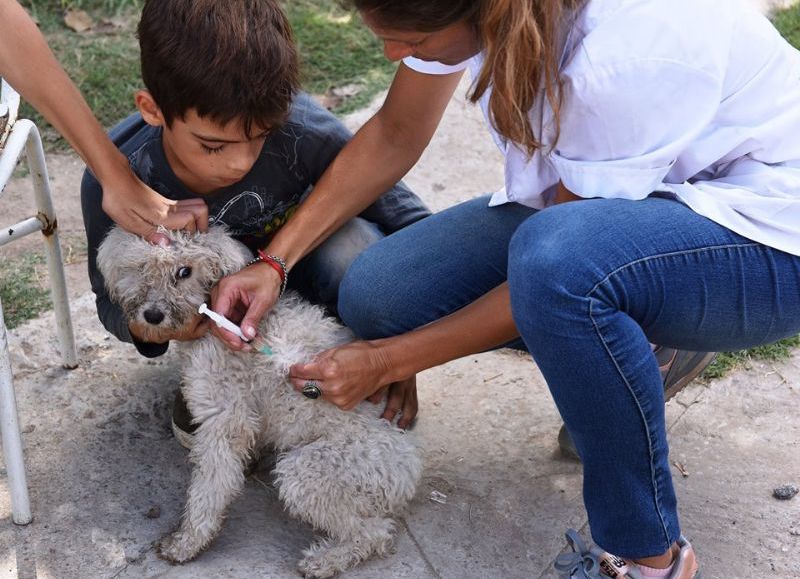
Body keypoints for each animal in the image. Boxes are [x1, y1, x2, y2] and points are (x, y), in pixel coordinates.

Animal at [97, 227, 424, 579]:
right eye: (142, 266)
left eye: (184, 271)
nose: (153, 316)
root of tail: (411, 468)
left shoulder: (225, 420)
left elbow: (209, 489)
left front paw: (187, 543)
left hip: (308, 472)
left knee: (374, 532)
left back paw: (325, 560)